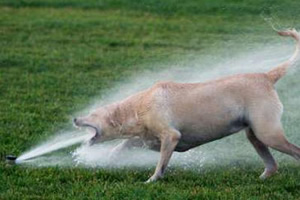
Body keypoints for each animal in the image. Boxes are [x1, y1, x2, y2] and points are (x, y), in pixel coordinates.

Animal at [73, 28, 300, 182]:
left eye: (91, 114)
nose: (75, 118)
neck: (137, 108)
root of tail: (267, 76)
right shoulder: (145, 138)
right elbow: (124, 146)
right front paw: (107, 158)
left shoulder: (170, 136)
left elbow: (161, 163)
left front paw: (152, 180)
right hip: (255, 134)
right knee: (272, 164)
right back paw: (263, 176)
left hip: (268, 133)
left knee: (295, 151)